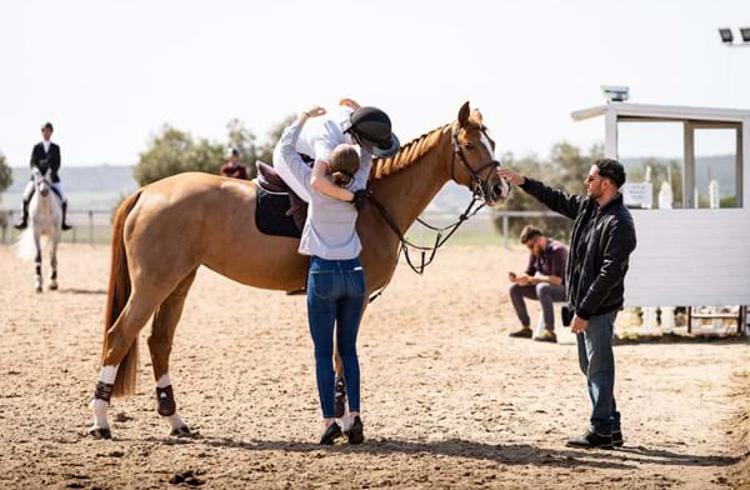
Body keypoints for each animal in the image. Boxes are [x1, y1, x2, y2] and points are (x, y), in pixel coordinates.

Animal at [88, 101, 510, 439]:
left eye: (492, 143)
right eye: (470, 146)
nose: (500, 189)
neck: (369, 202)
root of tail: (147, 193)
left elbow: (340, 356)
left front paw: (343, 421)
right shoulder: (354, 296)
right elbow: (340, 356)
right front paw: (345, 423)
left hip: (178, 282)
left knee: (159, 342)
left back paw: (175, 422)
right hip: (153, 284)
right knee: (119, 336)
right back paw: (101, 422)